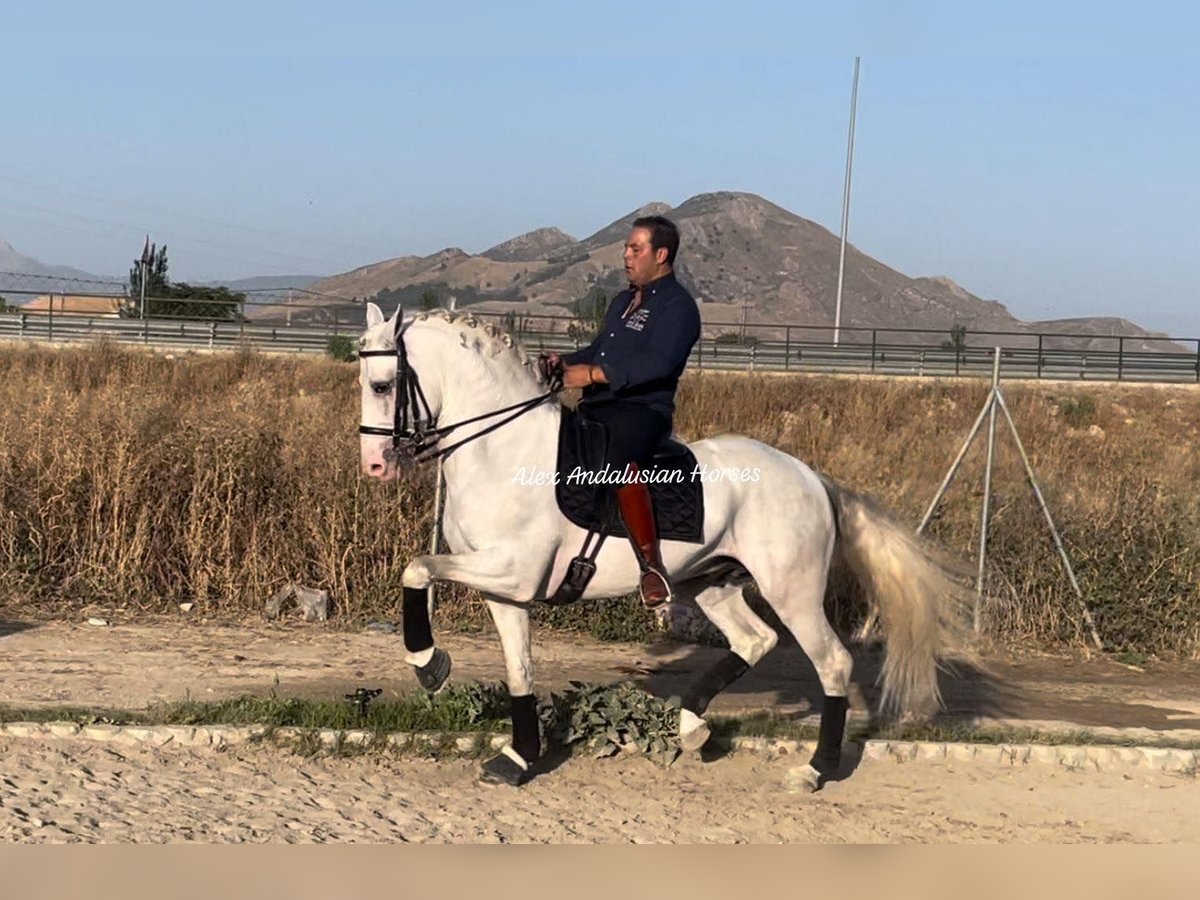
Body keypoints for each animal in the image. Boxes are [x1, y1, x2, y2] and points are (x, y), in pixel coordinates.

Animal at [352, 303, 964, 787]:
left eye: (382, 385)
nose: (375, 466)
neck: (502, 447)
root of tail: (811, 477)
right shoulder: (505, 590)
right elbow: (519, 671)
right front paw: (518, 758)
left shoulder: (512, 570)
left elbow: (416, 569)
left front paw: (428, 664)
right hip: (712, 583)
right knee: (755, 640)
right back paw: (691, 726)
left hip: (791, 590)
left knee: (831, 663)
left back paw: (814, 770)